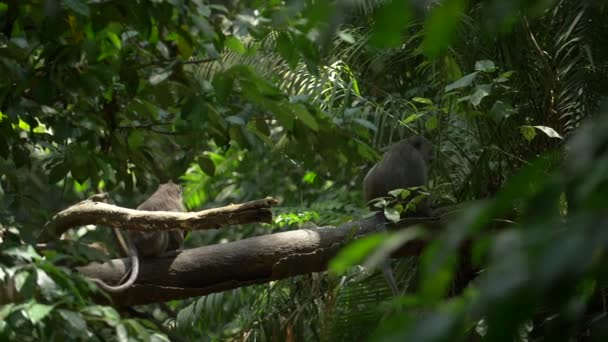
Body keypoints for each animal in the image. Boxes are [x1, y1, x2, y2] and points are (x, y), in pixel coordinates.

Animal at [360, 135, 432, 296]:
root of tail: (378, 207)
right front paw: (429, 209)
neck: (407, 143)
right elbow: (418, 189)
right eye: (427, 149)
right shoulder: (416, 159)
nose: (430, 157)